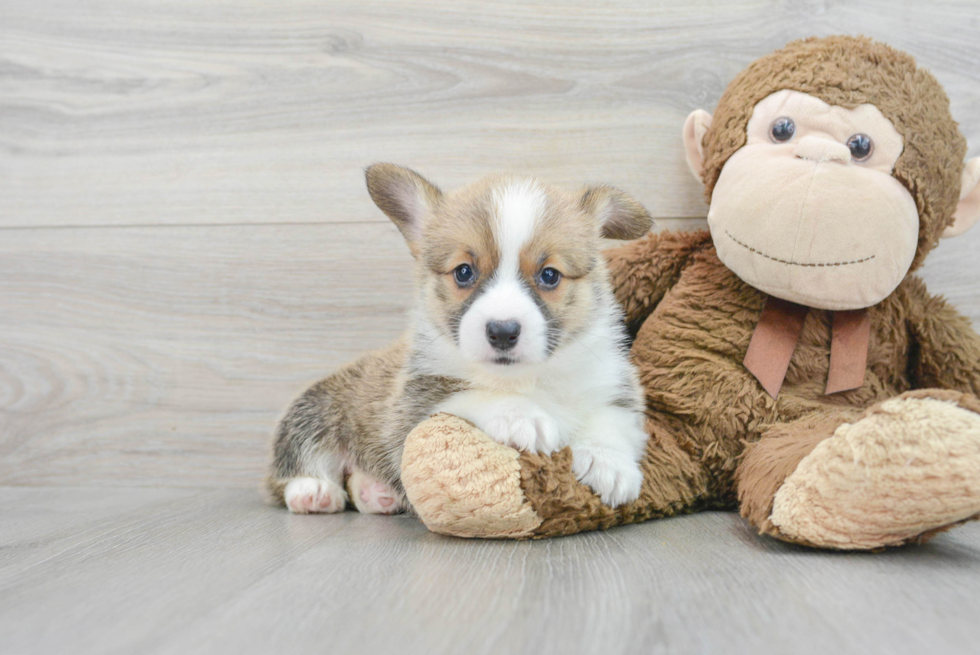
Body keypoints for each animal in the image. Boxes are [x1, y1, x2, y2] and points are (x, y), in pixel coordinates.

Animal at [264, 164, 656, 512]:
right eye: (464, 272)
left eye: (549, 275)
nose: (502, 331)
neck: (526, 378)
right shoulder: (417, 404)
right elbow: (473, 393)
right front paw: (521, 415)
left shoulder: (613, 385)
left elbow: (611, 420)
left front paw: (610, 464)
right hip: (313, 412)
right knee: (294, 466)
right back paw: (312, 491)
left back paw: (374, 492)